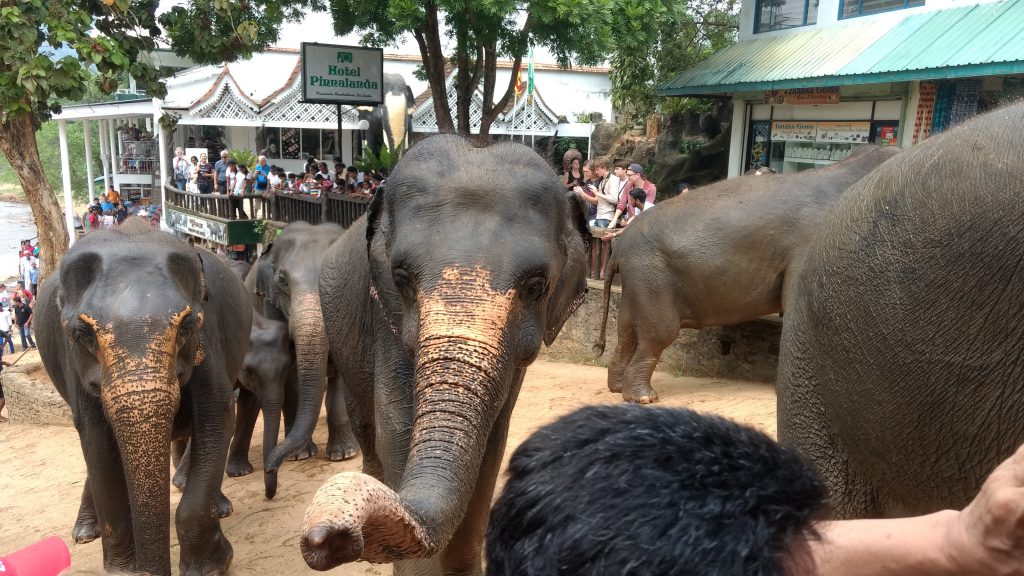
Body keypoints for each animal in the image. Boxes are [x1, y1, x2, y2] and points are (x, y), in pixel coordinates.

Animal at [247, 219, 360, 498]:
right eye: (283, 281)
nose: (270, 471)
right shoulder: (271, 305)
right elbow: (292, 376)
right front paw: (300, 455)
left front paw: (344, 454)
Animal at [299, 135, 589, 573]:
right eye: (401, 278)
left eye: (536, 287)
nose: (323, 537)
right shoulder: (387, 322)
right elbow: (396, 430)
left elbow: (492, 448)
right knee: (364, 419)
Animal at [593, 144, 897, 399]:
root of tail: (619, 245)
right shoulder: (806, 249)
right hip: (651, 279)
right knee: (656, 335)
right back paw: (643, 397)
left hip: (638, 283)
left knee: (627, 333)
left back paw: (617, 387)